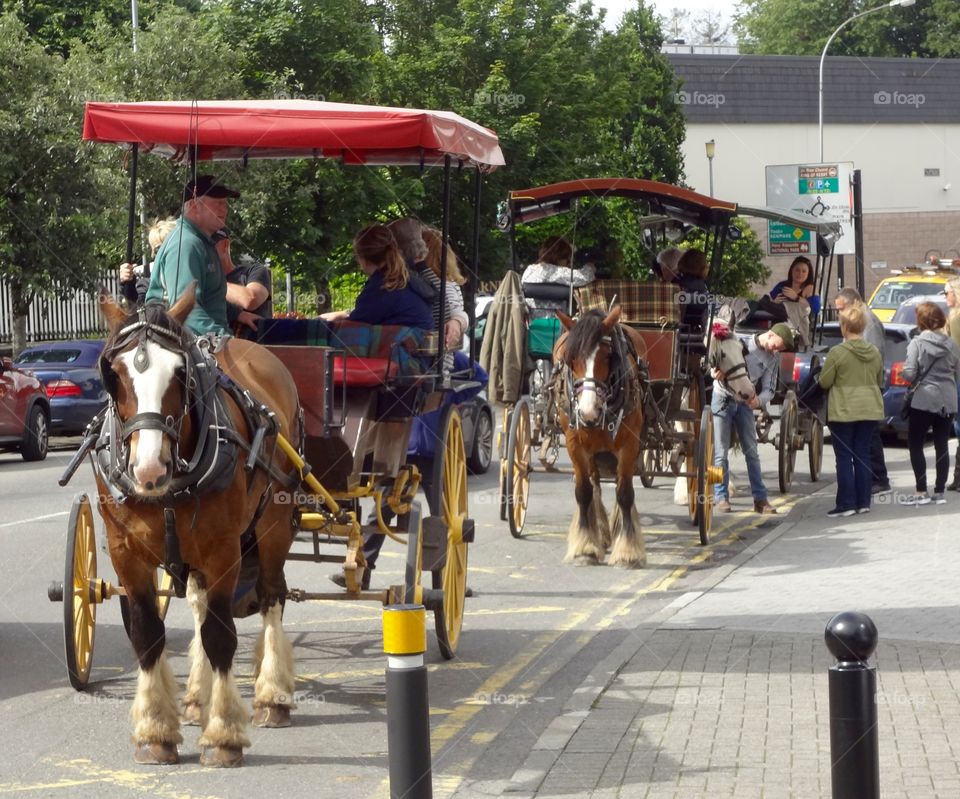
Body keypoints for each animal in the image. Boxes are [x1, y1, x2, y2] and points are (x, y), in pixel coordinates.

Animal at [97, 290, 300, 768]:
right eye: (113, 374)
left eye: (180, 372)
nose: (149, 469)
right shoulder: (125, 553)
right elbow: (148, 635)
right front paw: (156, 730)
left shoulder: (223, 549)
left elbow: (220, 636)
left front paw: (224, 735)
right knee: (198, 603)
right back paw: (194, 698)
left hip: (273, 524)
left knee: (271, 596)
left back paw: (271, 696)